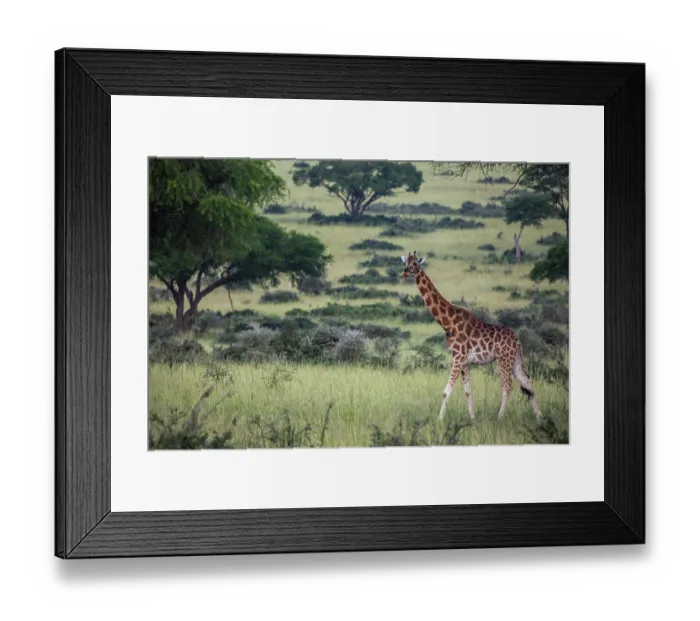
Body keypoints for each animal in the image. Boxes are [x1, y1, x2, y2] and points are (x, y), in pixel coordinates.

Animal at [401, 252, 542, 421]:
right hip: (515, 361)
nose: (404, 273)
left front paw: (439, 419)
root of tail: (517, 340)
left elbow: (446, 391)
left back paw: (500, 417)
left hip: (503, 360)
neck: (448, 323)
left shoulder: (457, 357)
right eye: (405, 262)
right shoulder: (464, 362)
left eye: (415, 263)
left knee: (507, 386)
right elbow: (468, 391)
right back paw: (539, 416)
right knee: (527, 381)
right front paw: (473, 418)